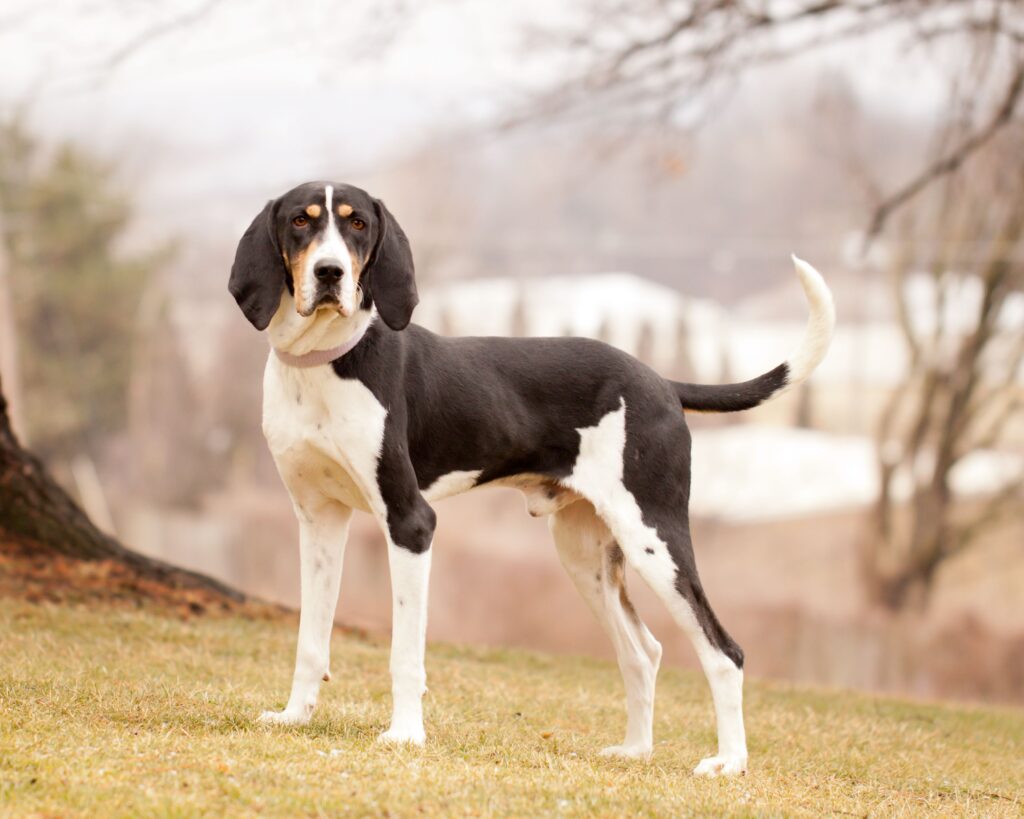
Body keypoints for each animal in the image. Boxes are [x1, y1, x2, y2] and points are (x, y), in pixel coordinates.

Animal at [226, 179, 831, 773]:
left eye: (357, 224)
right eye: (300, 221)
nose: (330, 273)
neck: (326, 361)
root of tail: (660, 381)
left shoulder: (410, 523)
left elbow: (405, 652)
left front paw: (404, 736)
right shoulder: (319, 521)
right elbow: (310, 639)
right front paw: (294, 717)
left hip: (654, 538)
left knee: (724, 651)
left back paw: (729, 761)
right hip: (585, 556)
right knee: (643, 652)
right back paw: (635, 751)